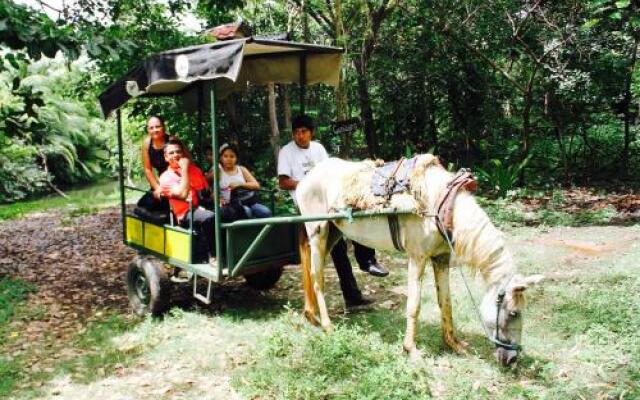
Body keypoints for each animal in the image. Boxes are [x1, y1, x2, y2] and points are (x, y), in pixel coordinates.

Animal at [298, 155, 544, 366]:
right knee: (317, 278)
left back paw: (311, 315)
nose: (512, 360)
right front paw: (411, 349)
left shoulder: (441, 258)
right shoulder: (417, 257)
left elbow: (446, 303)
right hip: (318, 232)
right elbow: (414, 305)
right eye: (513, 313)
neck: (441, 206)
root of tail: (305, 179)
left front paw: (454, 344)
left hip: (332, 233)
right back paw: (327, 324)